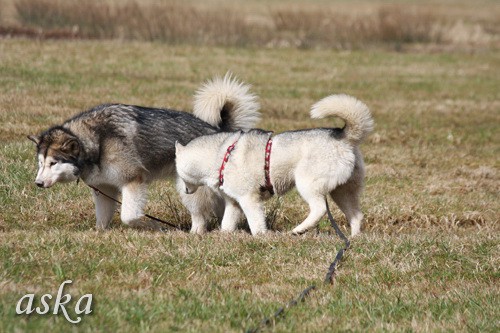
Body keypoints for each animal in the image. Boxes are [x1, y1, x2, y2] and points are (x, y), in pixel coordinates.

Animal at [27, 74, 260, 231]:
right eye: (40, 163)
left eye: (53, 163)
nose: (38, 183)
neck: (95, 142)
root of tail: (217, 129)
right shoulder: (104, 189)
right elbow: (102, 219)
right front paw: (99, 233)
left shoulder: (133, 180)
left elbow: (128, 217)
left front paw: (153, 227)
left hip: (189, 189)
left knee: (200, 215)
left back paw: (195, 232)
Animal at [174, 93, 374, 236]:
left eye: (180, 175)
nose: (184, 191)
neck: (222, 155)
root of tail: (344, 136)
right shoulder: (234, 203)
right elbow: (227, 224)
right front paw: (224, 237)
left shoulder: (249, 200)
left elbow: (256, 223)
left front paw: (260, 237)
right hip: (342, 192)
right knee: (356, 216)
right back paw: (353, 239)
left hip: (307, 184)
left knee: (319, 209)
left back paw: (299, 230)